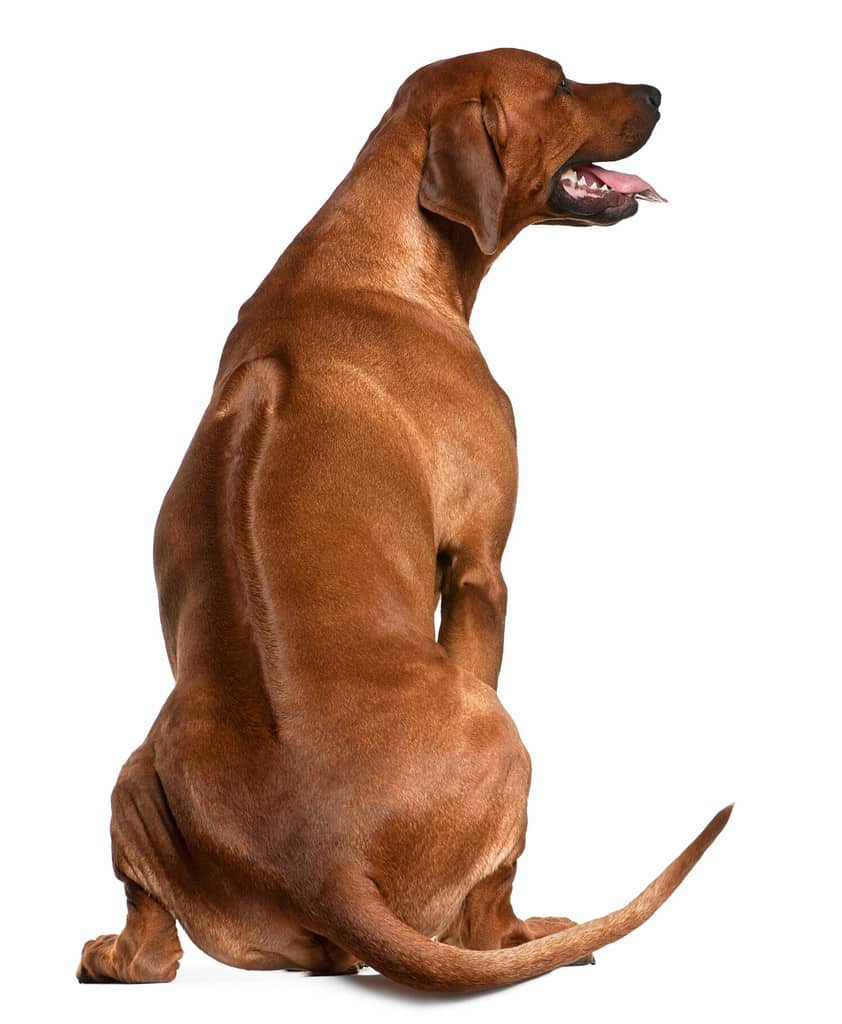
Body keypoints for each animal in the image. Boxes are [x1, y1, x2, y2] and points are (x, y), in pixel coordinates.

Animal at [78, 46, 733, 991]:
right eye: (561, 82)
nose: (655, 91)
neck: (372, 250)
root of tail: (328, 863)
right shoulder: (480, 567)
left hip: (134, 777)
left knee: (151, 955)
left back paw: (108, 952)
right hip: (505, 737)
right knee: (489, 920)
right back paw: (538, 934)